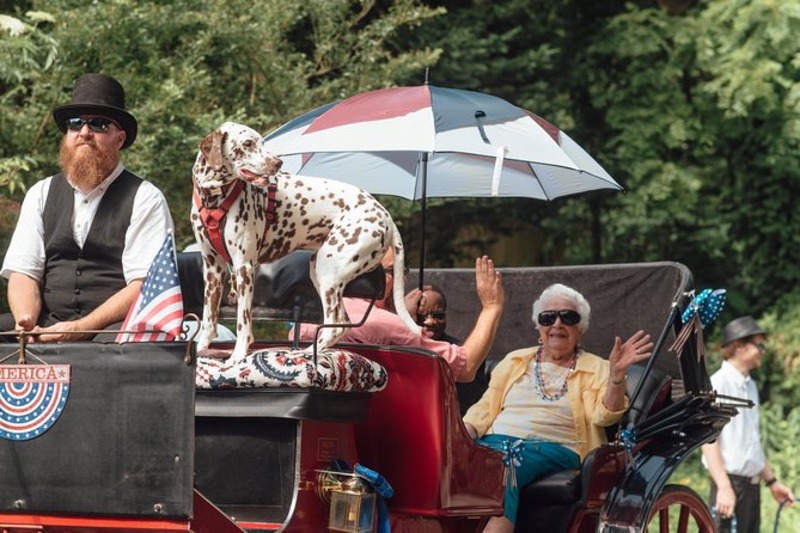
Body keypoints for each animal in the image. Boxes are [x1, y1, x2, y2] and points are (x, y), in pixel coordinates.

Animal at [191, 121, 422, 362]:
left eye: (262, 142)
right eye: (247, 143)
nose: (278, 162)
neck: (214, 198)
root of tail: (386, 216)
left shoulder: (244, 267)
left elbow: (243, 322)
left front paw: (237, 356)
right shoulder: (213, 268)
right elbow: (209, 320)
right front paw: (200, 349)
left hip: (328, 272)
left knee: (334, 326)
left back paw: (307, 352)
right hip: (320, 272)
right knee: (341, 323)